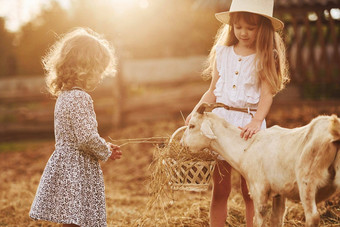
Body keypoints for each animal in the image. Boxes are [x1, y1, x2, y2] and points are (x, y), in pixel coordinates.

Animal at [182, 103, 340, 226]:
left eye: (192, 126)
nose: (182, 144)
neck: (246, 147)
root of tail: (333, 130)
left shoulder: (259, 189)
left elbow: (257, 218)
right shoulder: (279, 193)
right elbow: (276, 219)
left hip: (307, 181)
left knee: (313, 217)